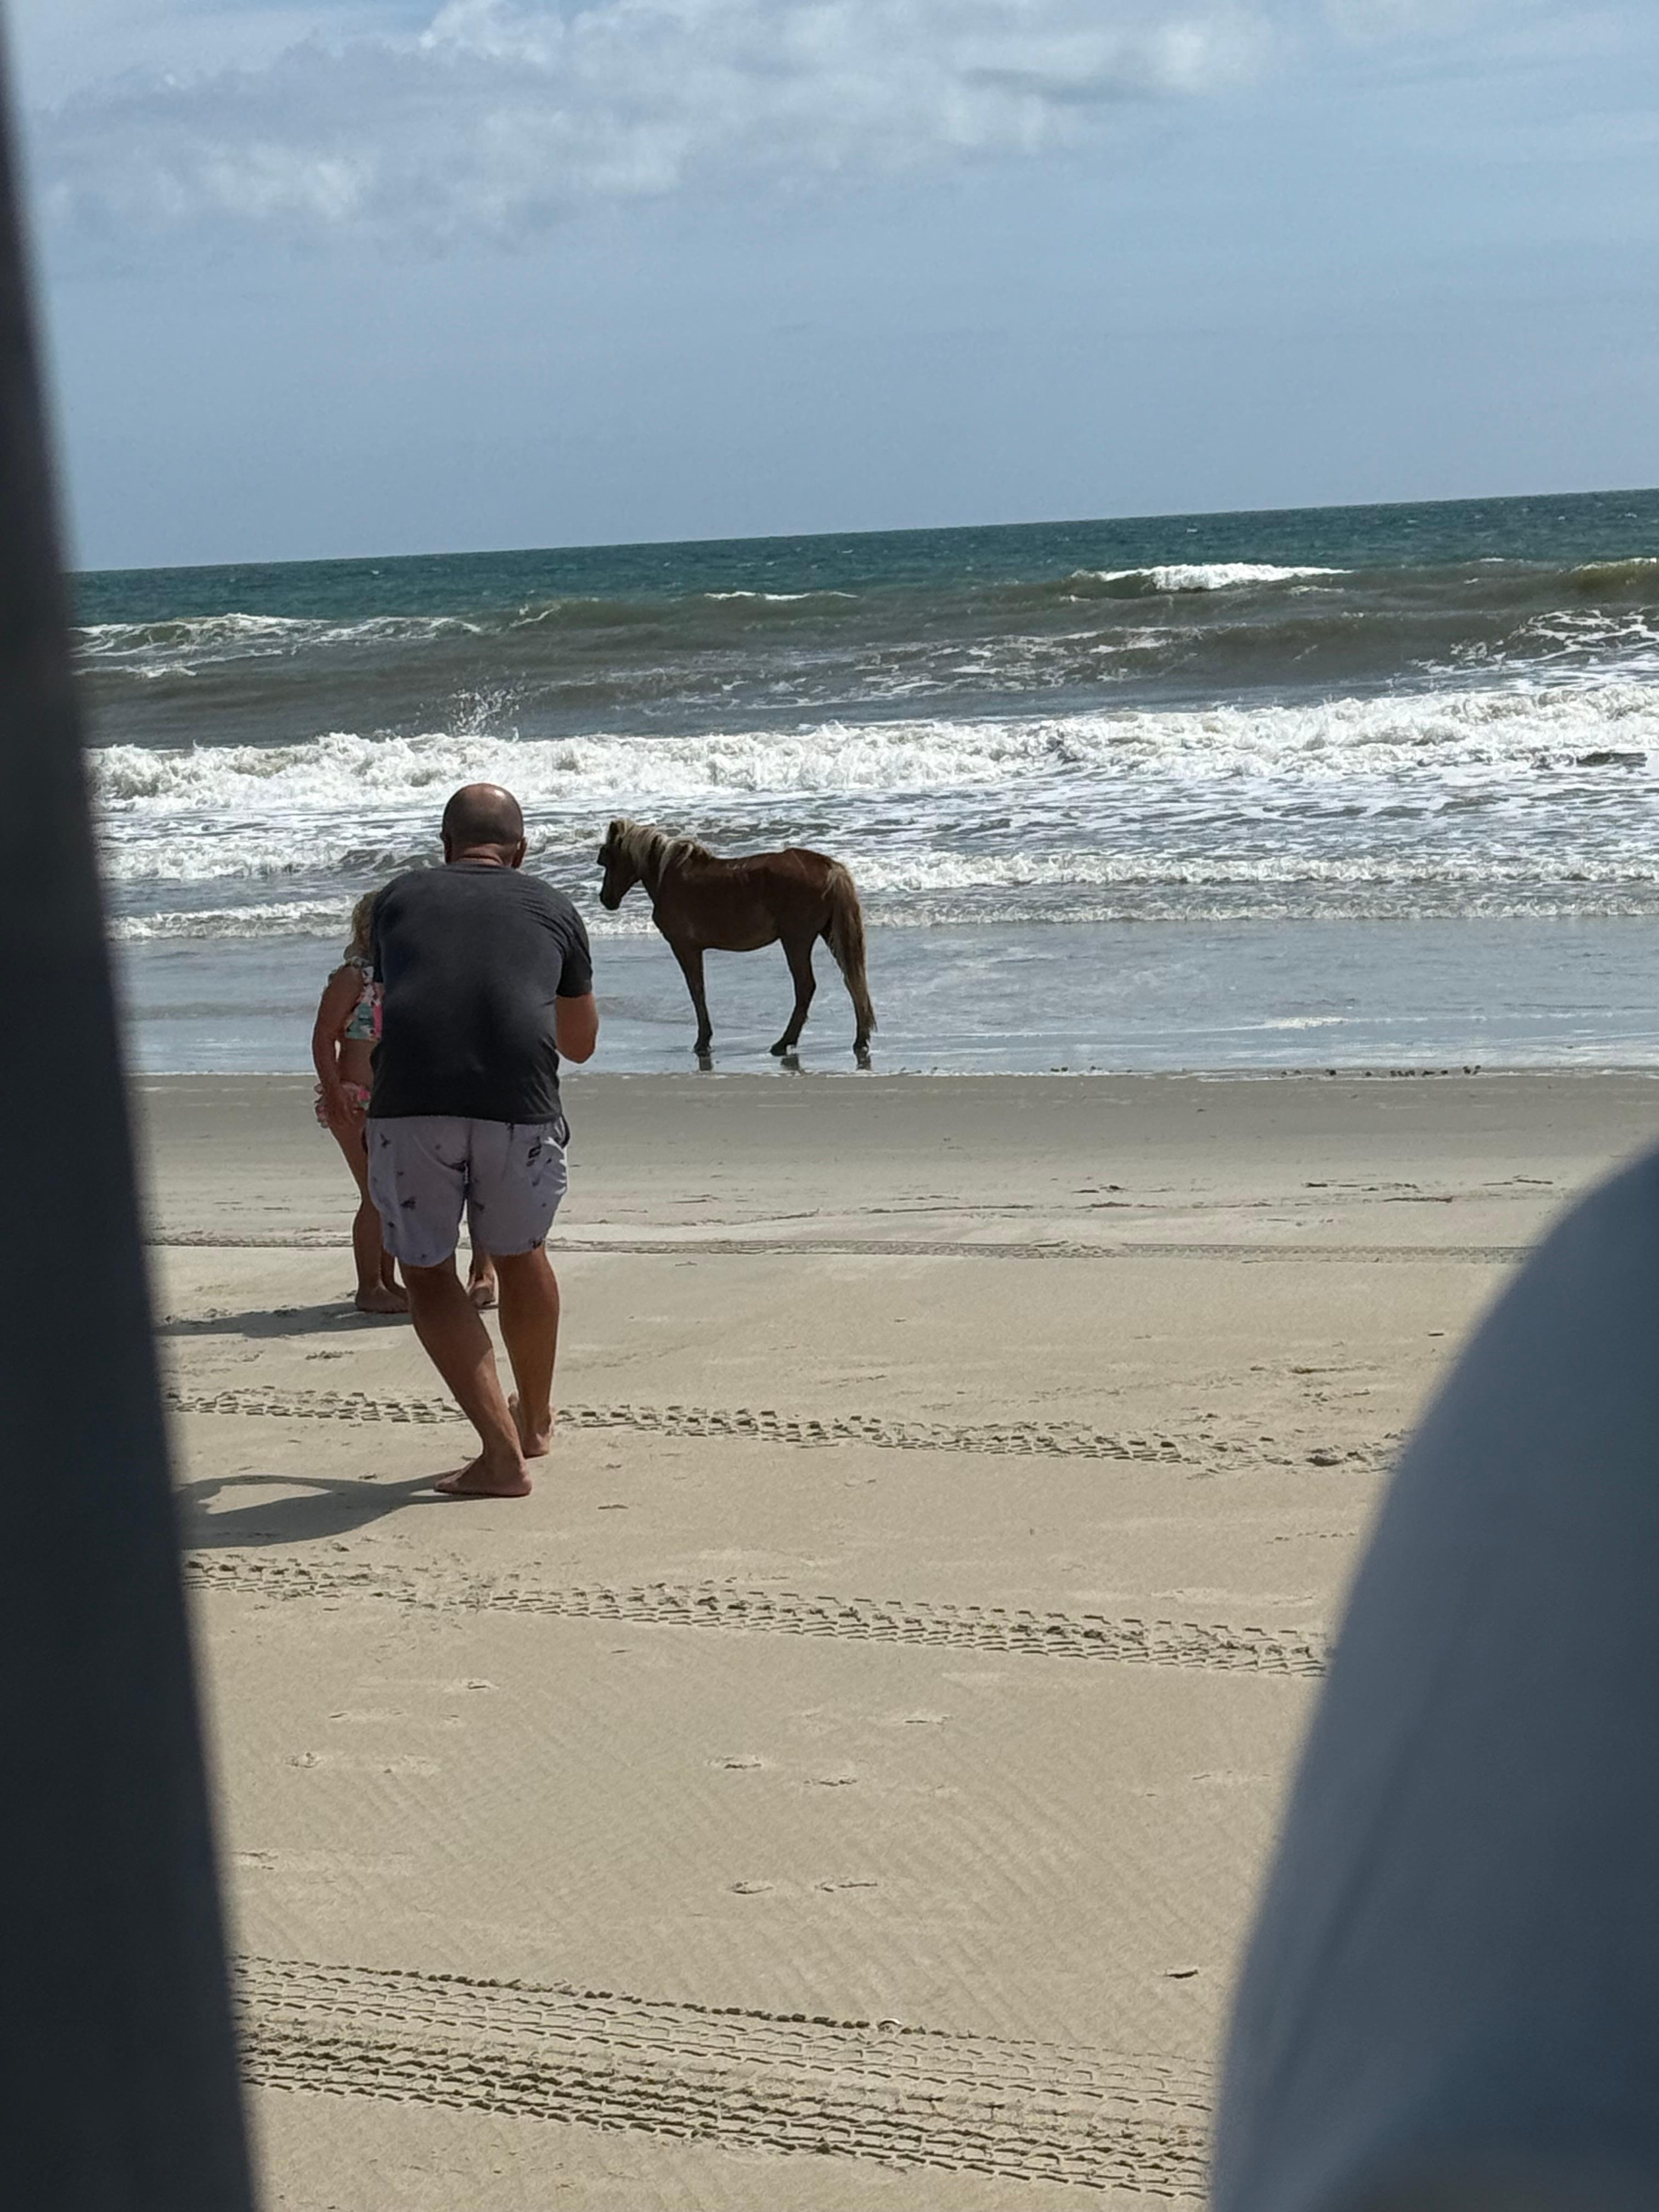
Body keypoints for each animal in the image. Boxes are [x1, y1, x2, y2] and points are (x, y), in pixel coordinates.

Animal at [597, 819, 876, 1065]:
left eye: (607, 858)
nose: (606, 899)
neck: (668, 875)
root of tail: (830, 867)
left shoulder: (685, 948)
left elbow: (697, 991)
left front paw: (703, 1041)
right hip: (828, 935)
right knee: (852, 980)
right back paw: (859, 1039)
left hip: (796, 940)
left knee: (806, 987)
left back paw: (784, 1042)